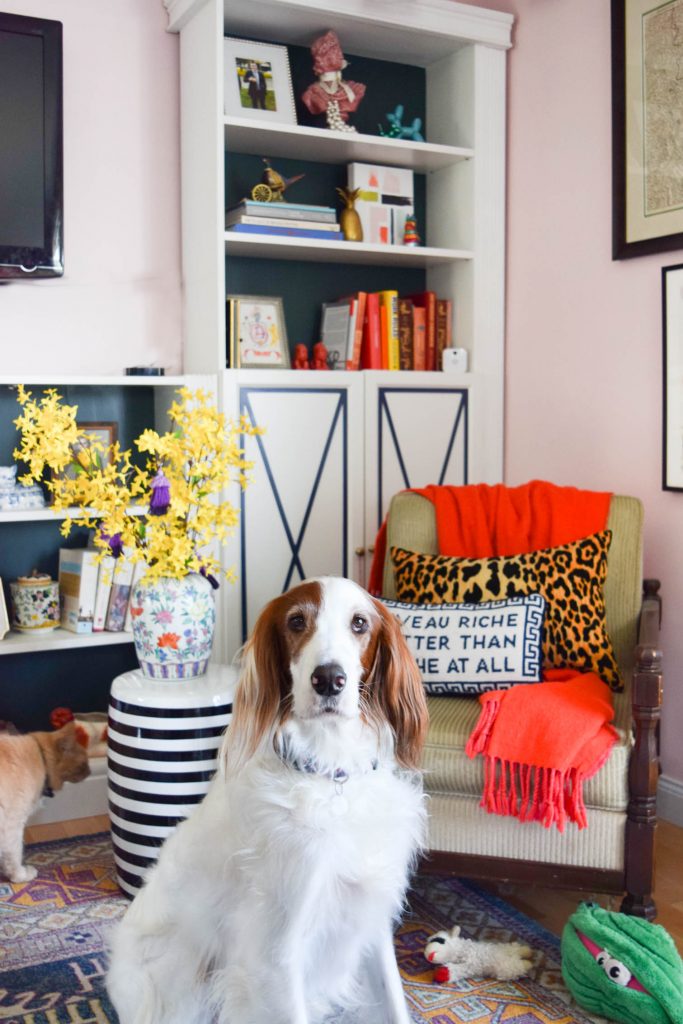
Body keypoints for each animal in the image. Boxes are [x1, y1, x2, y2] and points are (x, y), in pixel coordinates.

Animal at [0, 724, 90, 884]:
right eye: (84, 763)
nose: (90, 771)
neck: (40, 758)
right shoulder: (13, 825)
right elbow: (15, 857)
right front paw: (21, 876)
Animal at [107, 577, 428, 1024]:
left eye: (359, 623)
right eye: (296, 622)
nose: (329, 679)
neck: (329, 775)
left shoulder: (370, 920)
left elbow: (395, 1005)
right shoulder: (276, 954)